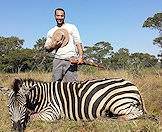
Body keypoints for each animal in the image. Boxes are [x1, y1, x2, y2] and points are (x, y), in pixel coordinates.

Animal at [7, 77, 147, 131]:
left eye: (24, 106)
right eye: (9, 108)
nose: (16, 129)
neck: (42, 97)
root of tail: (133, 84)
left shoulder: (52, 112)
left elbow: (33, 117)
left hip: (118, 104)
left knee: (137, 113)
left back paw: (118, 119)